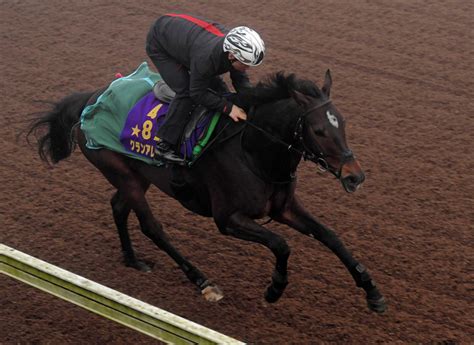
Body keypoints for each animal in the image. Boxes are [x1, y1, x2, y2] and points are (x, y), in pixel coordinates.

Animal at [27, 69, 386, 312]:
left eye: (343, 122)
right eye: (319, 130)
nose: (355, 176)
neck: (253, 151)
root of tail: (90, 99)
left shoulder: (284, 207)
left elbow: (330, 236)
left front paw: (372, 292)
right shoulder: (227, 219)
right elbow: (281, 244)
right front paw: (274, 288)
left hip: (136, 176)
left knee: (118, 206)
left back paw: (131, 259)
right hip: (121, 172)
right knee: (151, 226)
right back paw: (201, 279)